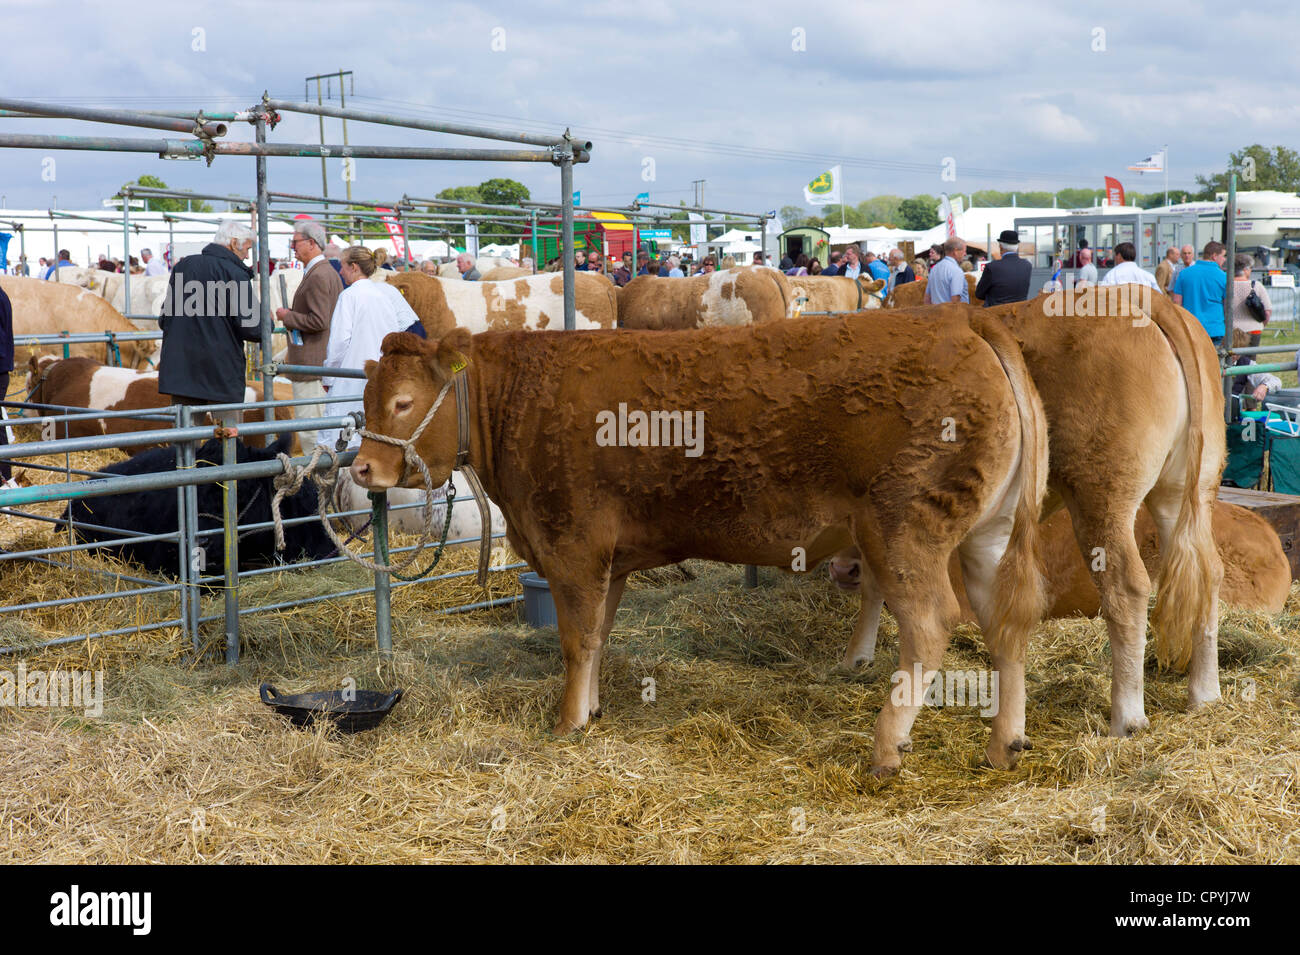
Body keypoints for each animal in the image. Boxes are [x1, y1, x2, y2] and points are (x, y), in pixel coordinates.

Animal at [832, 287, 1227, 738]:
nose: (840, 568)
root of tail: (1142, 298)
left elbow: (877, 583)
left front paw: (855, 656)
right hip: (1188, 488)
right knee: (1207, 570)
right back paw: (1205, 693)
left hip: (1101, 495)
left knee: (1126, 586)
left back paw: (1127, 717)